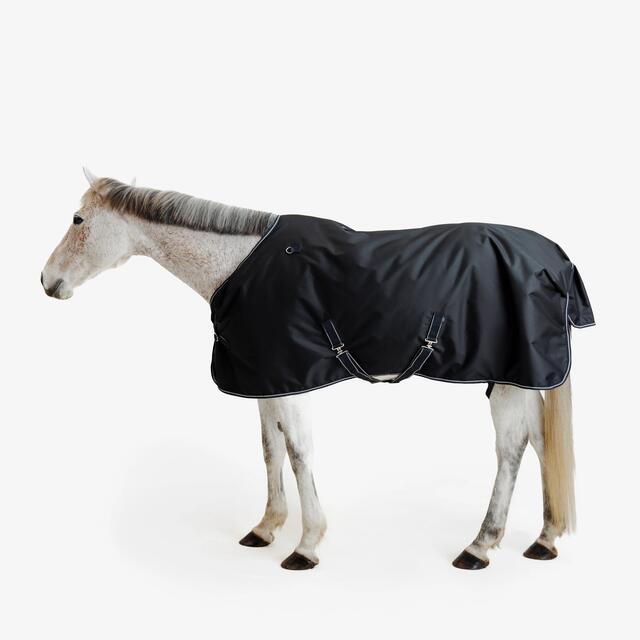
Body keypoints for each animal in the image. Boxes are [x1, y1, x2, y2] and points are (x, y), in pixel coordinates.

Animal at [41, 169, 579, 571]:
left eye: (78, 218)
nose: (48, 281)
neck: (239, 264)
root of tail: (554, 258)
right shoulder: (264, 379)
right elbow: (270, 448)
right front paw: (266, 528)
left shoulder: (289, 380)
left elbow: (299, 451)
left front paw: (306, 544)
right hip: (520, 379)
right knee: (539, 441)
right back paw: (545, 538)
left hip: (509, 380)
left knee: (511, 449)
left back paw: (480, 546)